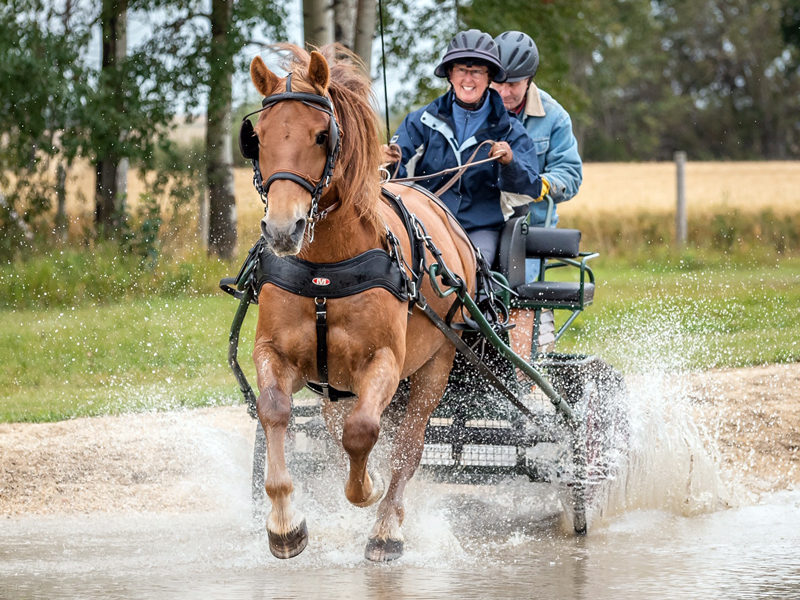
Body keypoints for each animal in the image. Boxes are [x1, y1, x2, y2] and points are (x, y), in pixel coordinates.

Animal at [245, 44, 476, 562]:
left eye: (320, 135)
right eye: (258, 138)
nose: (283, 230)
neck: (326, 270)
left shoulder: (384, 360)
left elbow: (364, 433)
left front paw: (366, 489)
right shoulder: (276, 352)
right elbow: (275, 411)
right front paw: (284, 522)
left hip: (435, 365)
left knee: (407, 446)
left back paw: (386, 528)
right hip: (337, 384)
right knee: (337, 428)